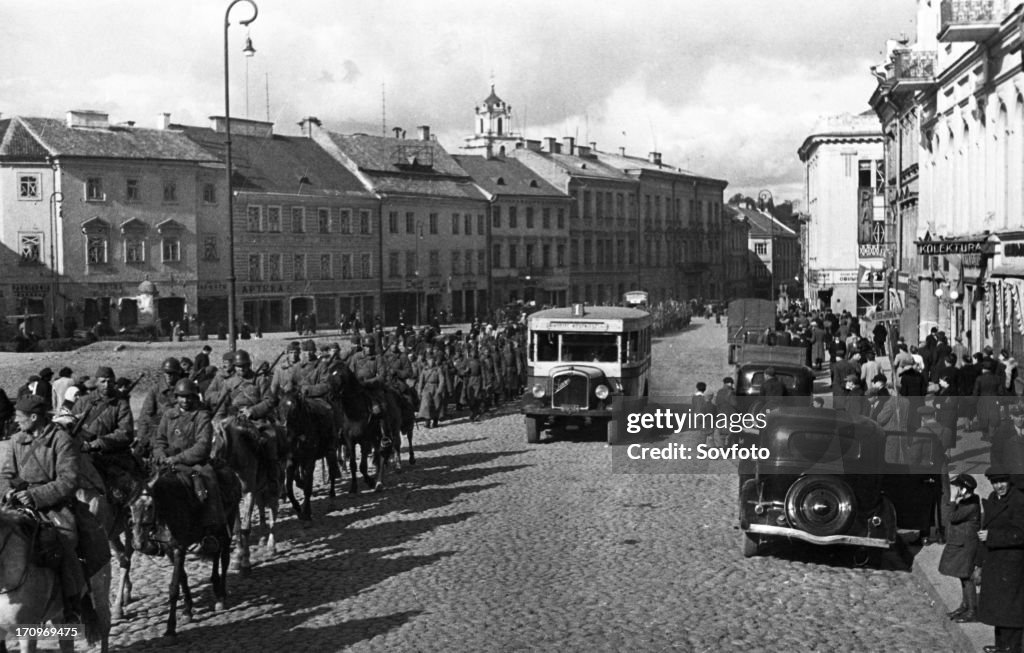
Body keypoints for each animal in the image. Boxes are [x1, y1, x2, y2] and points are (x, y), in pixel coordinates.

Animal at [132, 468, 241, 642]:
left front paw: (170, 628)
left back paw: (221, 596)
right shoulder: (170, 550)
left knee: (224, 559)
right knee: (216, 554)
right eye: (131, 507)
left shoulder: (179, 548)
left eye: (149, 506)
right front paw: (187, 610)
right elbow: (182, 578)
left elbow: (174, 588)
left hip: (227, 526)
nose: (138, 544)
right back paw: (216, 586)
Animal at [221, 419, 280, 573]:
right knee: (262, 509)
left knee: (273, 512)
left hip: (273, 489)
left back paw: (271, 546)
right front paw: (237, 557)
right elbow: (237, 528)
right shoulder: (234, 499)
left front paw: (246, 561)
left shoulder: (249, 493)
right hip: (260, 492)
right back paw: (262, 540)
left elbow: (246, 528)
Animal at [276, 390, 339, 524]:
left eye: (294, 409)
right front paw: (298, 508)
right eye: (279, 408)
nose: (283, 428)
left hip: (330, 451)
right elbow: (289, 487)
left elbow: (308, 487)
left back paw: (332, 498)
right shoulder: (291, 461)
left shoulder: (310, 460)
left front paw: (307, 513)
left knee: (332, 473)